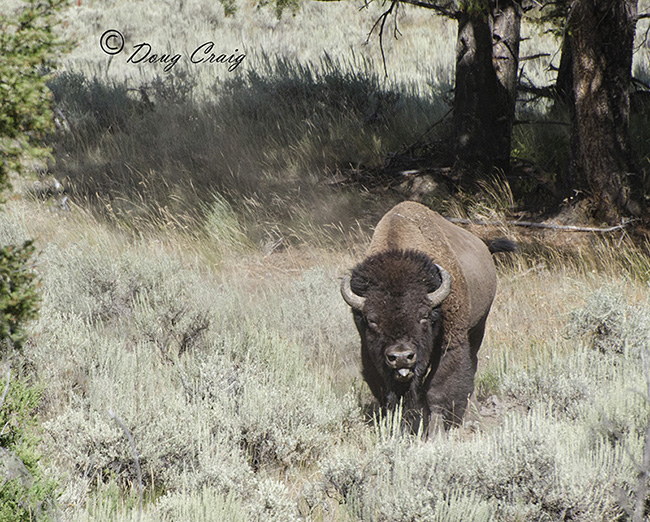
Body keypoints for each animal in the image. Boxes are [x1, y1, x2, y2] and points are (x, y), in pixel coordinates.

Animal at [341, 201, 513, 435]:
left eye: (423, 316)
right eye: (371, 320)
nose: (401, 356)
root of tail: (482, 245)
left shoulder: (451, 343)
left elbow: (438, 389)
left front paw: (435, 433)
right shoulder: (370, 352)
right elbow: (391, 396)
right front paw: (399, 430)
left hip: (479, 326)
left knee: (472, 364)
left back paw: (471, 415)